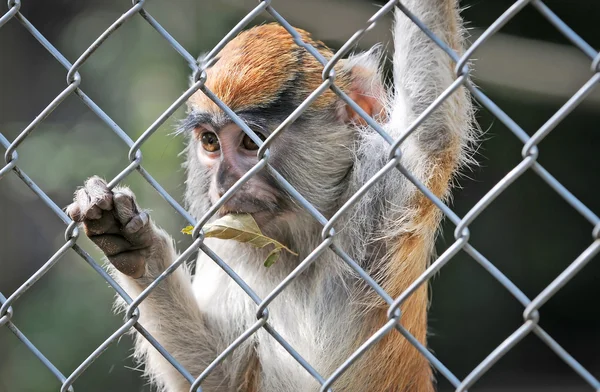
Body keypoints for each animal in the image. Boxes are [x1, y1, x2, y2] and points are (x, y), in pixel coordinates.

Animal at [68, 1, 476, 390]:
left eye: (252, 143)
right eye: (210, 142)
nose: (224, 182)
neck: (304, 245)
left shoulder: (381, 187)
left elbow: (430, 131)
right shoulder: (229, 242)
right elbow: (222, 381)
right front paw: (133, 242)